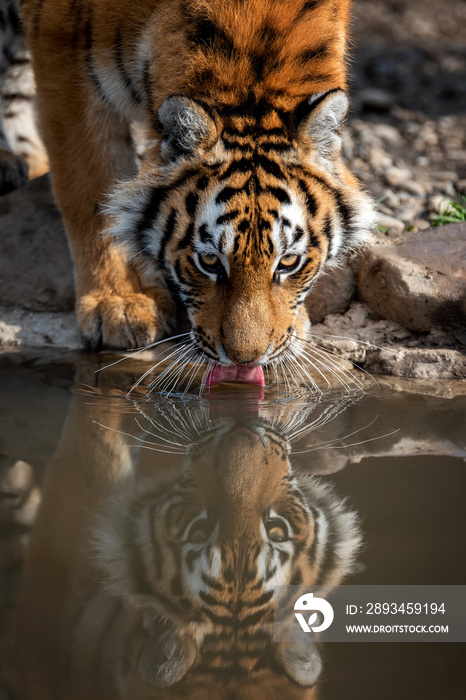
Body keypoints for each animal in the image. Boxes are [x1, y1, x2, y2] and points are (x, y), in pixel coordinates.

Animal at [19, 0, 374, 382]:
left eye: (289, 262)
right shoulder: (64, 54)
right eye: (209, 261)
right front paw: (119, 302)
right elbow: (92, 191)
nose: (245, 360)